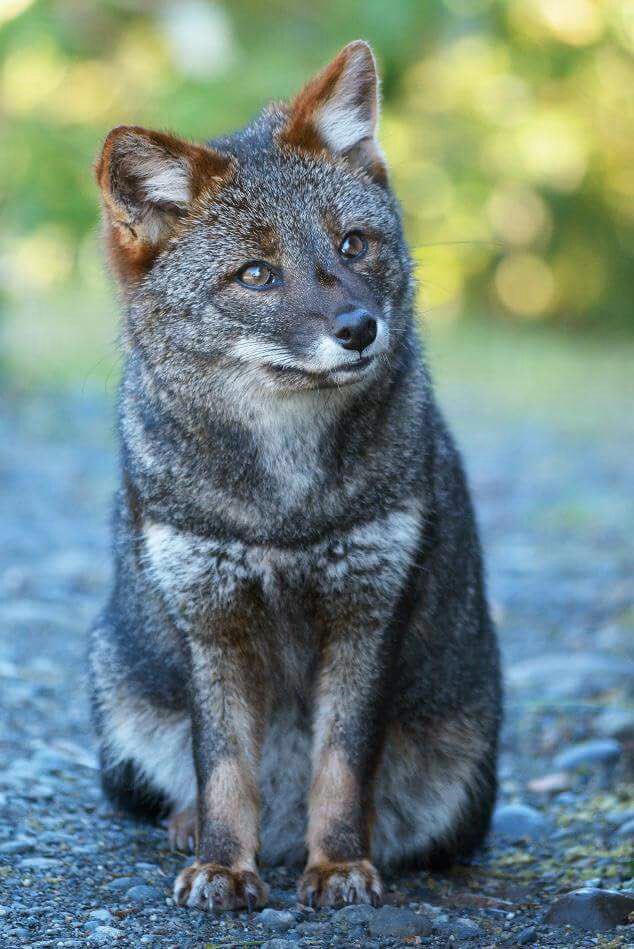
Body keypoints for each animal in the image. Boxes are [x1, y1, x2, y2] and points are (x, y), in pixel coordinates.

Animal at [89, 40, 502, 913]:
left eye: (352, 245)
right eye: (256, 275)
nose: (359, 328)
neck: (285, 504)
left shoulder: (366, 613)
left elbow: (341, 768)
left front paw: (340, 862)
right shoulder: (211, 620)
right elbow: (223, 768)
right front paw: (222, 862)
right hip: (119, 705)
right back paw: (189, 825)